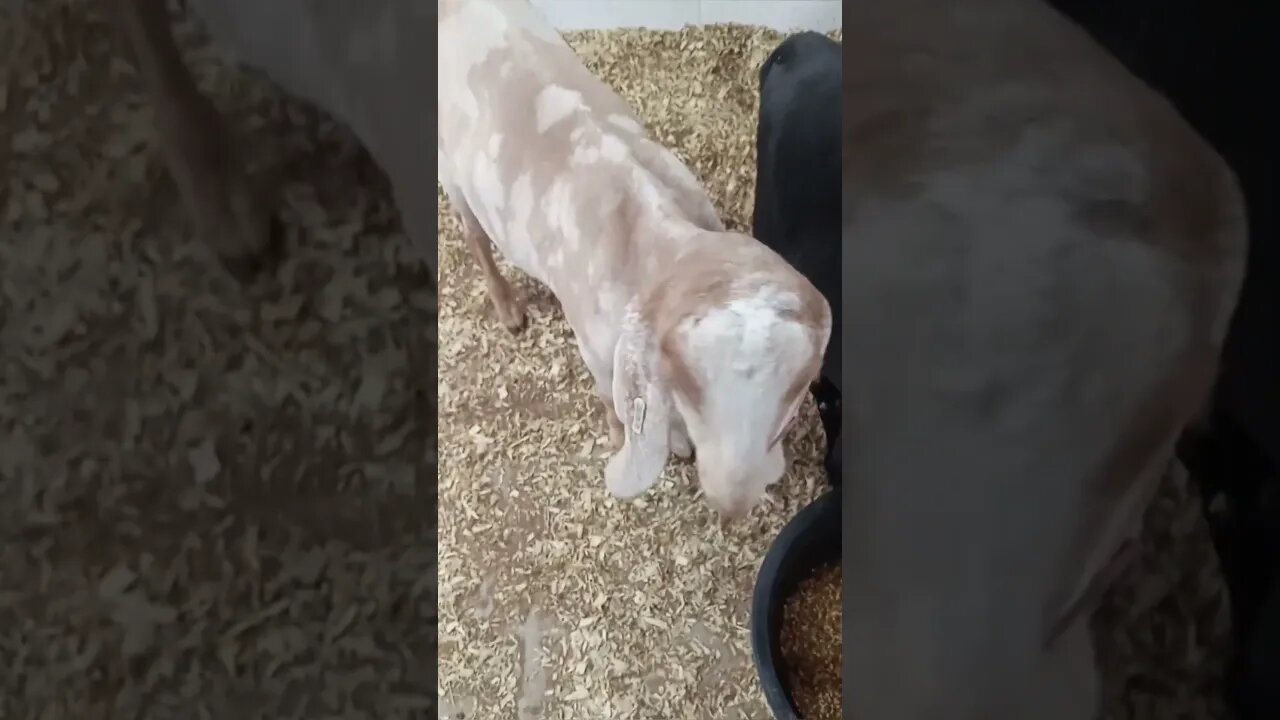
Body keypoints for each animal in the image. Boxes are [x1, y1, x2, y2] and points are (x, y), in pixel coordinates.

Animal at [437, 0, 829, 515]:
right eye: (689, 384)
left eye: (796, 390)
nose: (732, 502)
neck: (649, 233)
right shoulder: (596, 346)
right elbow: (613, 401)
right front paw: (624, 435)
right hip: (452, 174)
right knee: (475, 237)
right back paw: (508, 309)